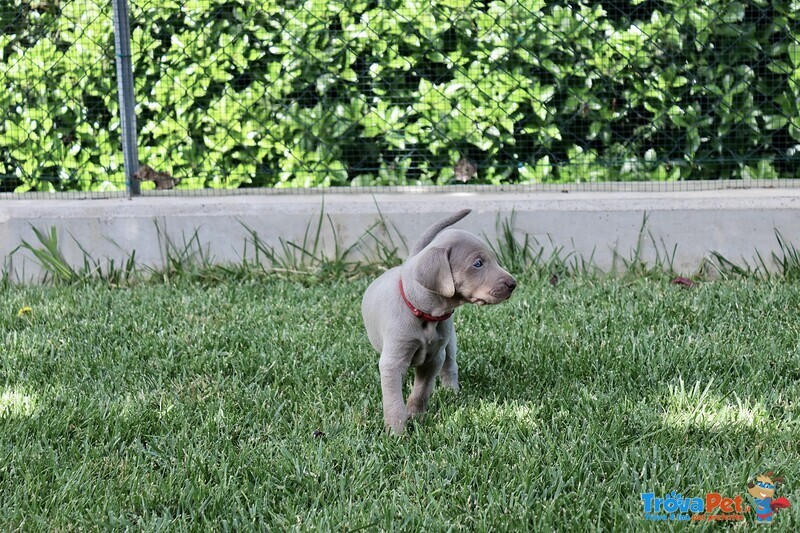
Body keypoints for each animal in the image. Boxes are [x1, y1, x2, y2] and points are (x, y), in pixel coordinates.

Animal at [360, 208, 516, 432]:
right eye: (478, 264)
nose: (513, 284)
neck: (425, 315)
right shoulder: (392, 361)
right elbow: (393, 400)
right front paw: (397, 432)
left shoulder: (434, 357)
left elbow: (422, 390)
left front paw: (416, 415)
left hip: (449, 342)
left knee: (450, 364)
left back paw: (451, 391)